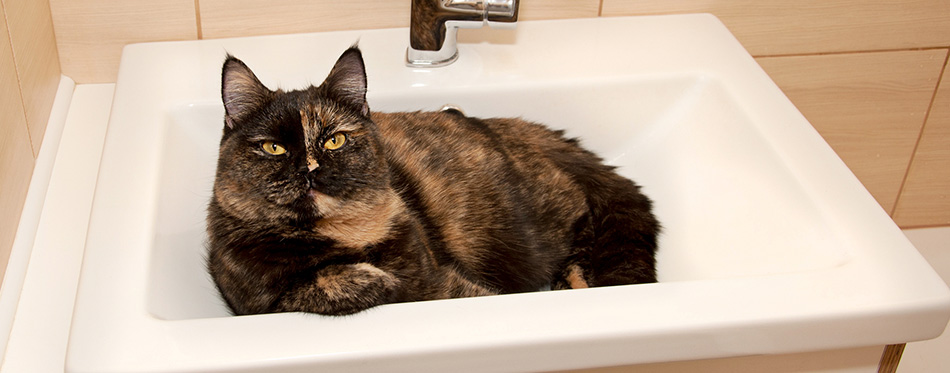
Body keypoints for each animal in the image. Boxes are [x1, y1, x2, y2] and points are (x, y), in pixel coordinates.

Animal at [208, 45, 660, 316]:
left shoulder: (439, 284)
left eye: (334, 139)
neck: (344, 238)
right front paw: (364, 279)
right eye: (274, 148)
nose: (310, 169)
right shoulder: (248, 292)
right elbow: (302, 290)